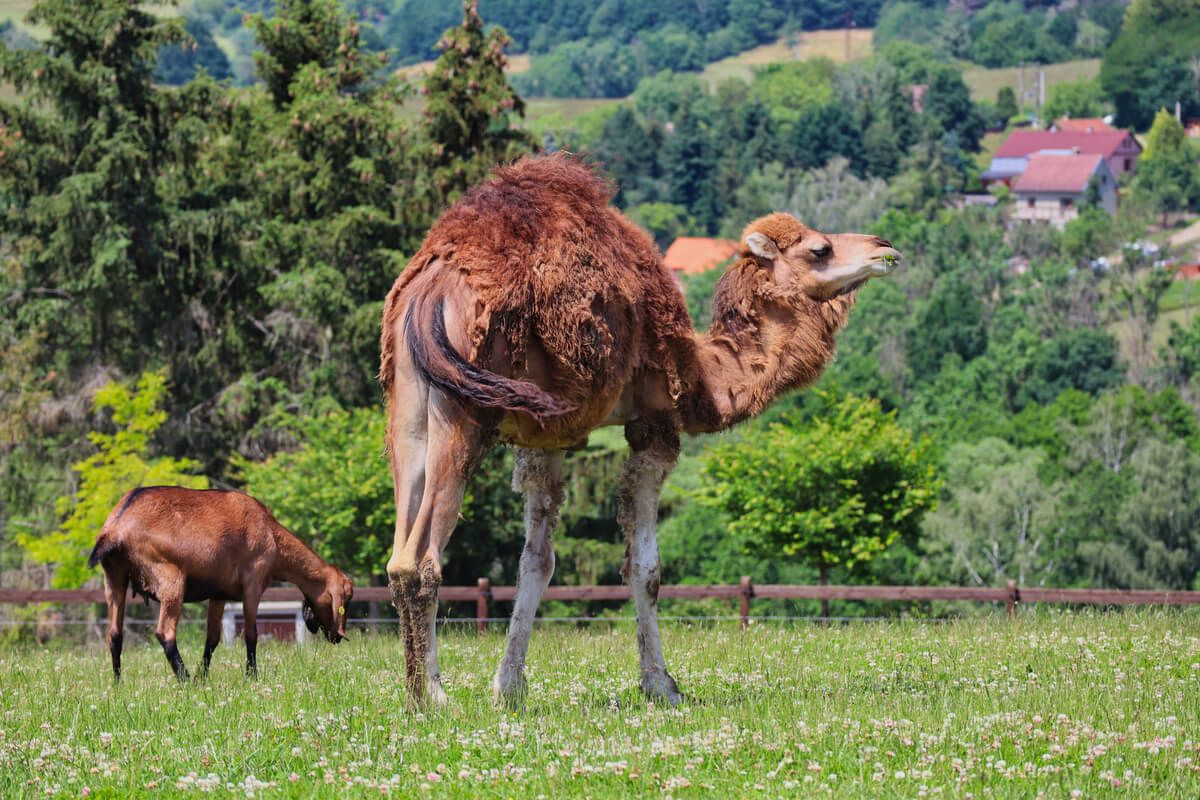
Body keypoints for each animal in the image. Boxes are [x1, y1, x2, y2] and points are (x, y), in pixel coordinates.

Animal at [88, 489, 350, 681]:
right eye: (346, 597)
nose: (337, 637)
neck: (271, 534)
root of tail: (116, 526)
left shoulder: (219, 594)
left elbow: (212, 638)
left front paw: (204, 677)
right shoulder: (253, 584)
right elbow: (251, 634)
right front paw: (251, 676)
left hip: (114, 578)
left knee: (115, 634)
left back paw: (118, 684)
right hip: (171, 579)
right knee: (165, 633)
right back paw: (186, 681)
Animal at [379, 154, 897, 705]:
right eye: (820, 248)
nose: (885, 246)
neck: (704, 375)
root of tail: (428, 290)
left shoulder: (547, 438)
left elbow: (537, 562)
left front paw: (509, 687)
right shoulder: (654, 426)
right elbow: (645, 569)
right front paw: (663, 686)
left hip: (408, 404)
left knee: (400, 552)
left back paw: (414, 693)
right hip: (465, 412)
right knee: (422, 555)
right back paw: (434, 697)